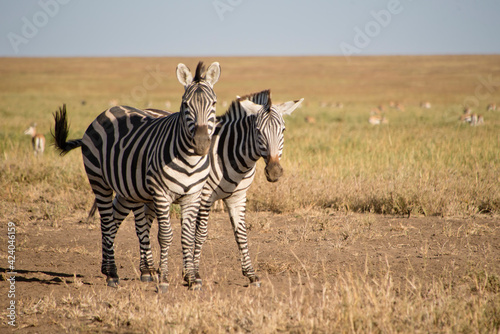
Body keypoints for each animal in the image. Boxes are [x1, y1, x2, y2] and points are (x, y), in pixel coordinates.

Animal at [52, 61, 221, 290]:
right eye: (186, 105)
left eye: (213, 103)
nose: (202, 143)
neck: (190, 160)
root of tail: (108, 110)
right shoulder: (161, 194)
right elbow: (165, 235)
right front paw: (164, 279)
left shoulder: (193, 195)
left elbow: (187, 237)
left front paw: (192, 279)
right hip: (99, 181)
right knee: (107, 222)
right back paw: (112, 274)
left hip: (129, 189)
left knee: (118, 220)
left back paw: (119, 269)